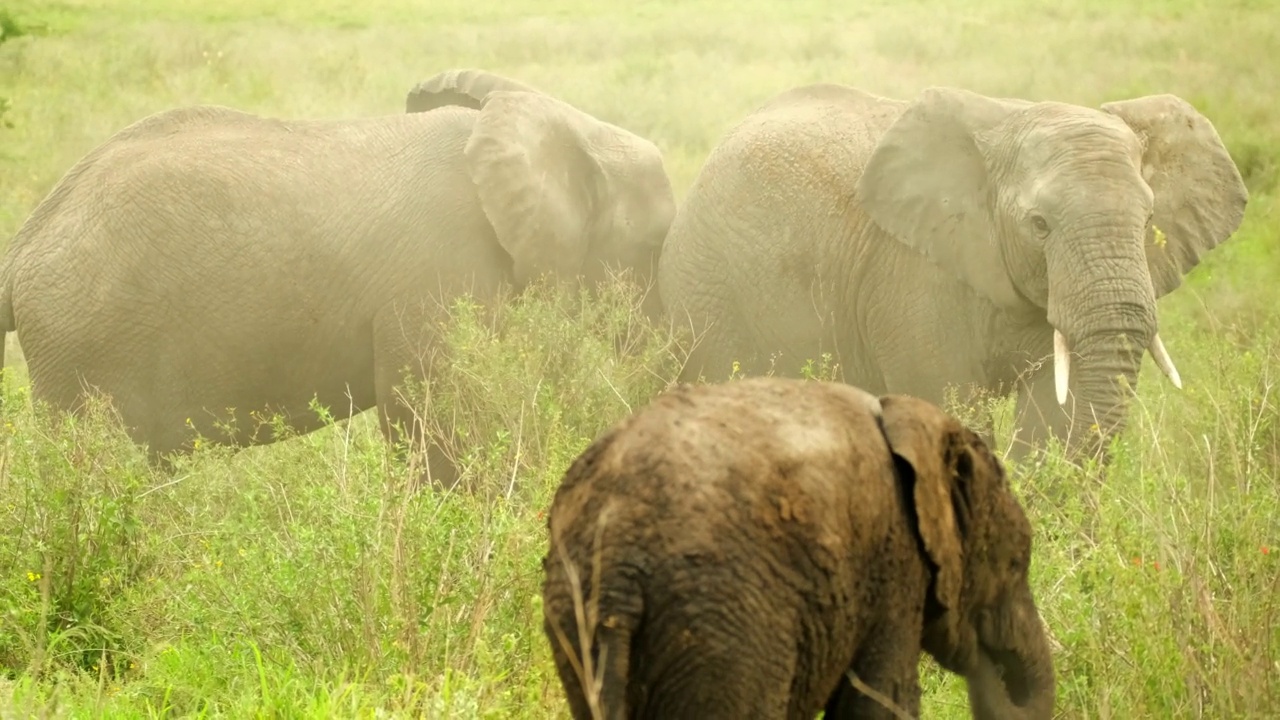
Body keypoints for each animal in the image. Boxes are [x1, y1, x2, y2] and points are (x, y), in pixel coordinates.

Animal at [545, 376, 1054, 717]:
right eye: (1016, 564)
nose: (989, 661)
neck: (911, 419)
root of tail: (619, 566)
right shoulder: (896, 568)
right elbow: (881, 703)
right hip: (724, 629)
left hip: (576, 619)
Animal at [660, 83, 1249, 461]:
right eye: (1039, 224)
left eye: (1149, 220)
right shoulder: (911, 273)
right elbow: (949, 403)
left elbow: (1059, 413)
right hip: (707, 283)